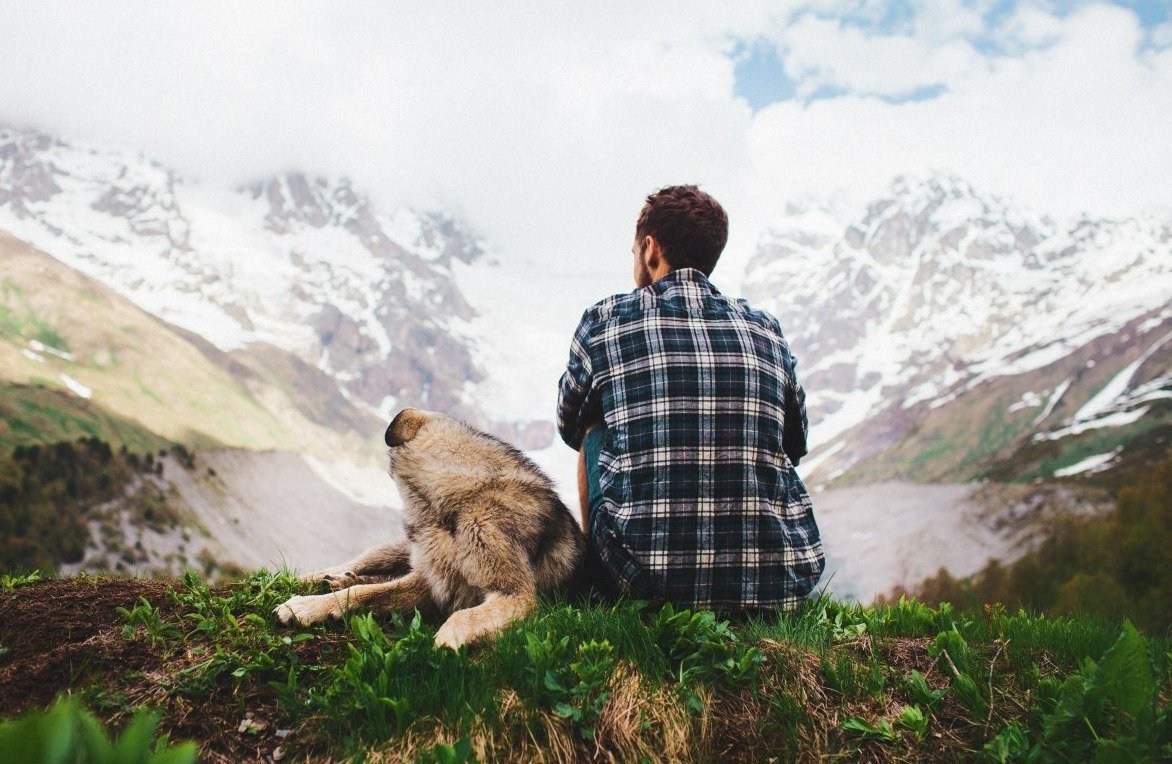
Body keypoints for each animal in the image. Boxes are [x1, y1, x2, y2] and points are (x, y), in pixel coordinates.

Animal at [275, 407, 586, 646]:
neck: (466, 495)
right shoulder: (433, 580)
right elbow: (368, 594)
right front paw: (306, 606)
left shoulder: (514, 594)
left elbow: (460, 614)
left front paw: (447, 641)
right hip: (394, 550)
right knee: (354, 565)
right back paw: (319, 579)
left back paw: (344, 579)